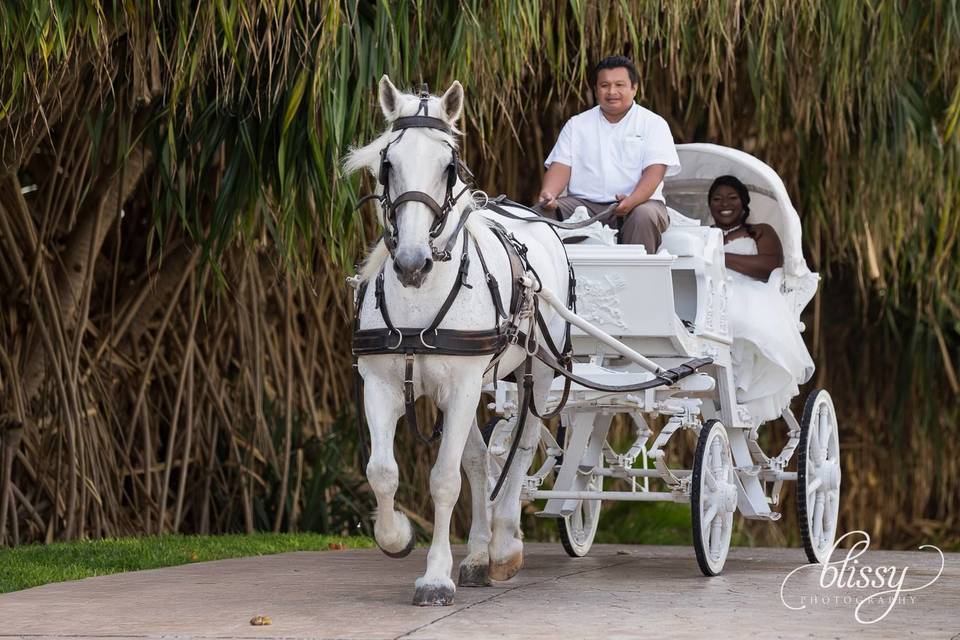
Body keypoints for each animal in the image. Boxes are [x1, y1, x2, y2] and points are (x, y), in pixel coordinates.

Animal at [346, 75, 568, 604]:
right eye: (387, 163)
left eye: (449, 167)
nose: (411, 262)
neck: (419, 298)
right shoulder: (381, 387)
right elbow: (383, 471)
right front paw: (398, 537)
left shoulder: (465, 386)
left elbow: (444, 479)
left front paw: (435, 577)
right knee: (479, 460)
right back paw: (480, 556)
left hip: (539, 371)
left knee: (522, 445)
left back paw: (504, 547)